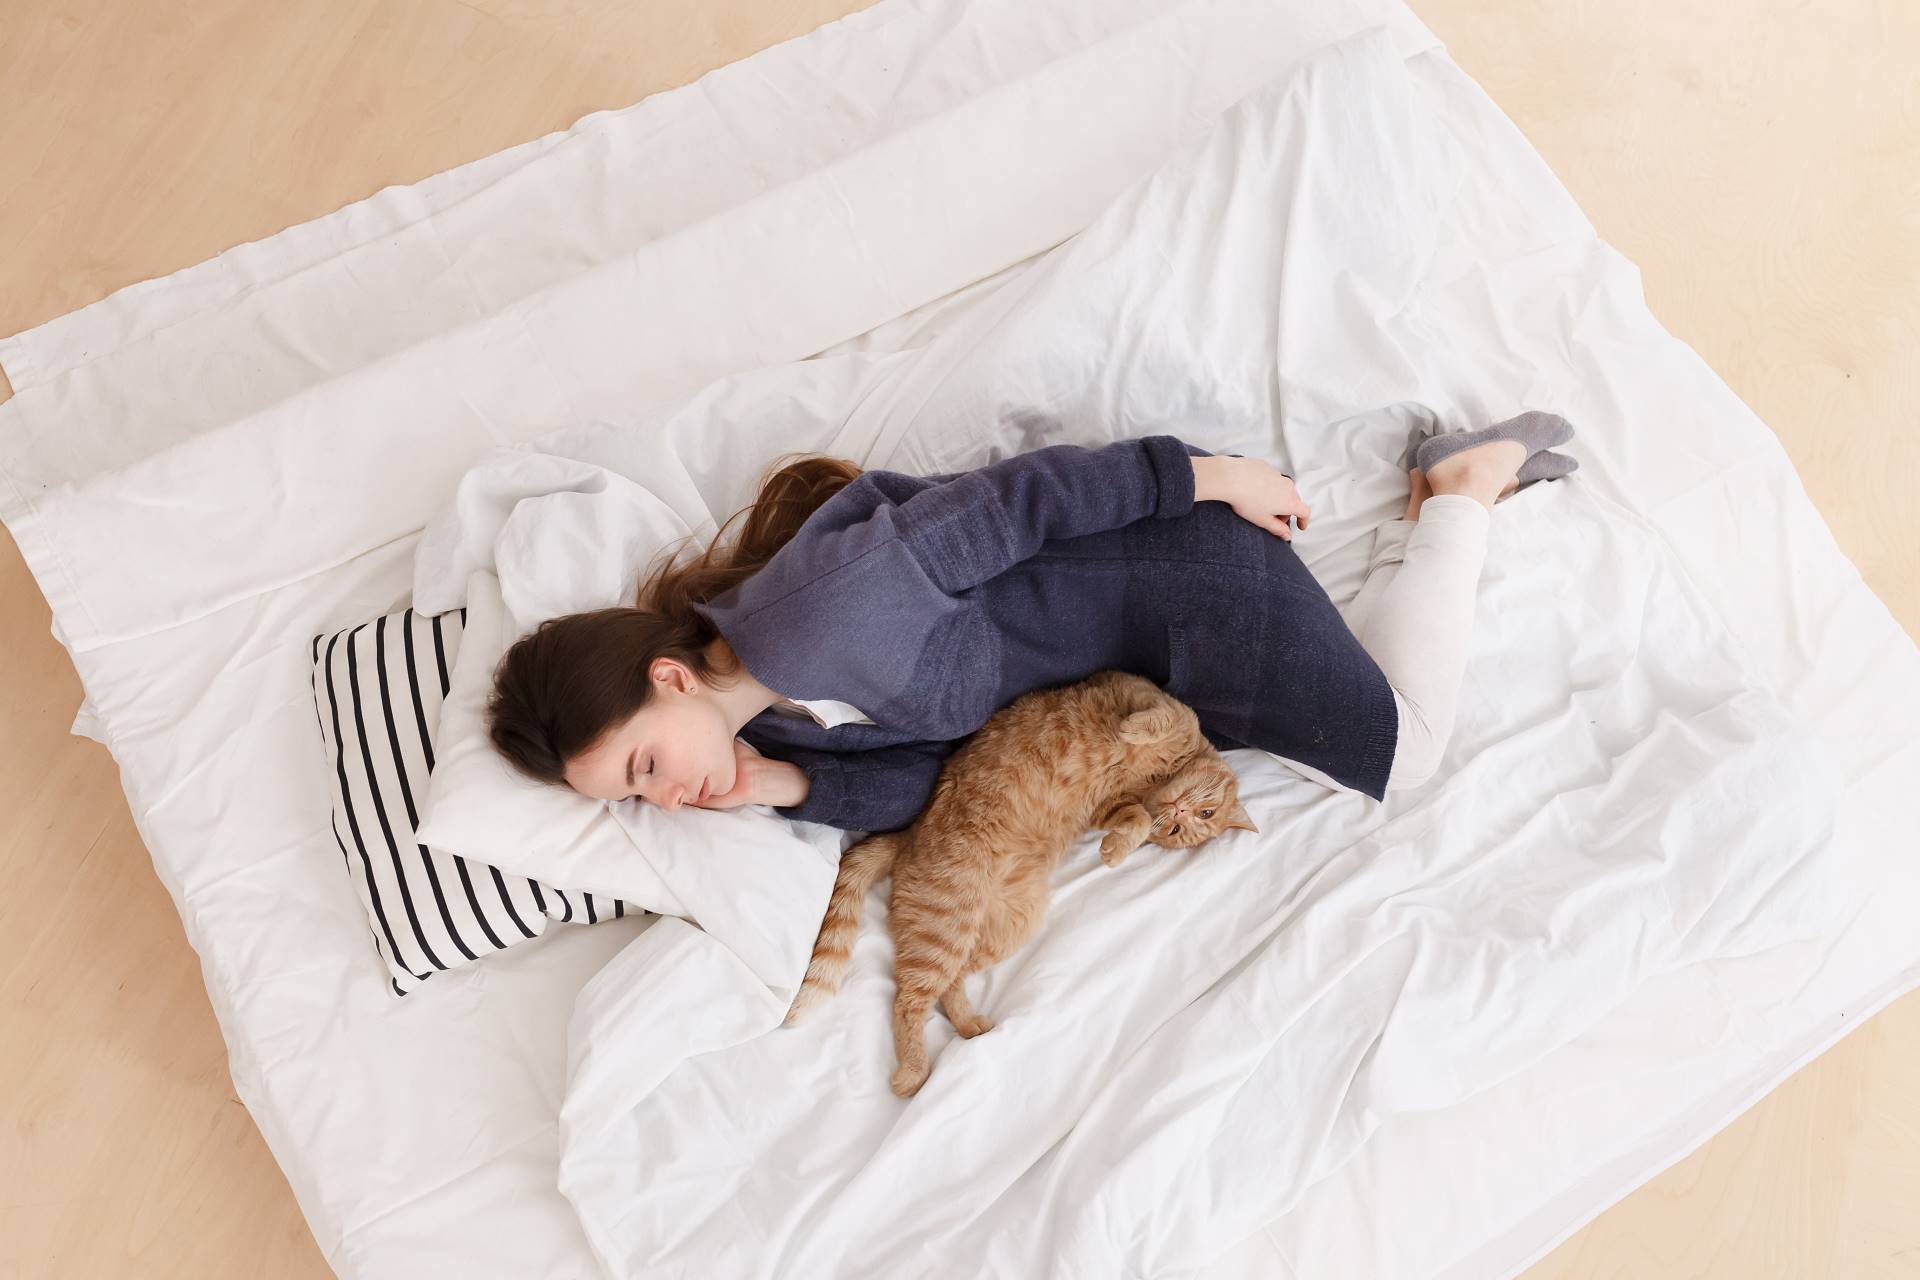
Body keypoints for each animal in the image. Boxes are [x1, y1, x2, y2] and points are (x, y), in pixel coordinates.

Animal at [785, 670, 1257, 1098]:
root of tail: (908, 836)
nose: (1179, 814)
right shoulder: (1135, 690)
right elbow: (1160, 721)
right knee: (909, 999)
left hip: (997, 928)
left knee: (938, 987)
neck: (1158, 779)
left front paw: (1116, 848)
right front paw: (1132, 737)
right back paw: (914, 1073)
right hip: (949, 926)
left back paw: (966, 1029)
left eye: (1183, 830)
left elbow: (1136, 818)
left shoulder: (1110, 807)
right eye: (1201, 818)